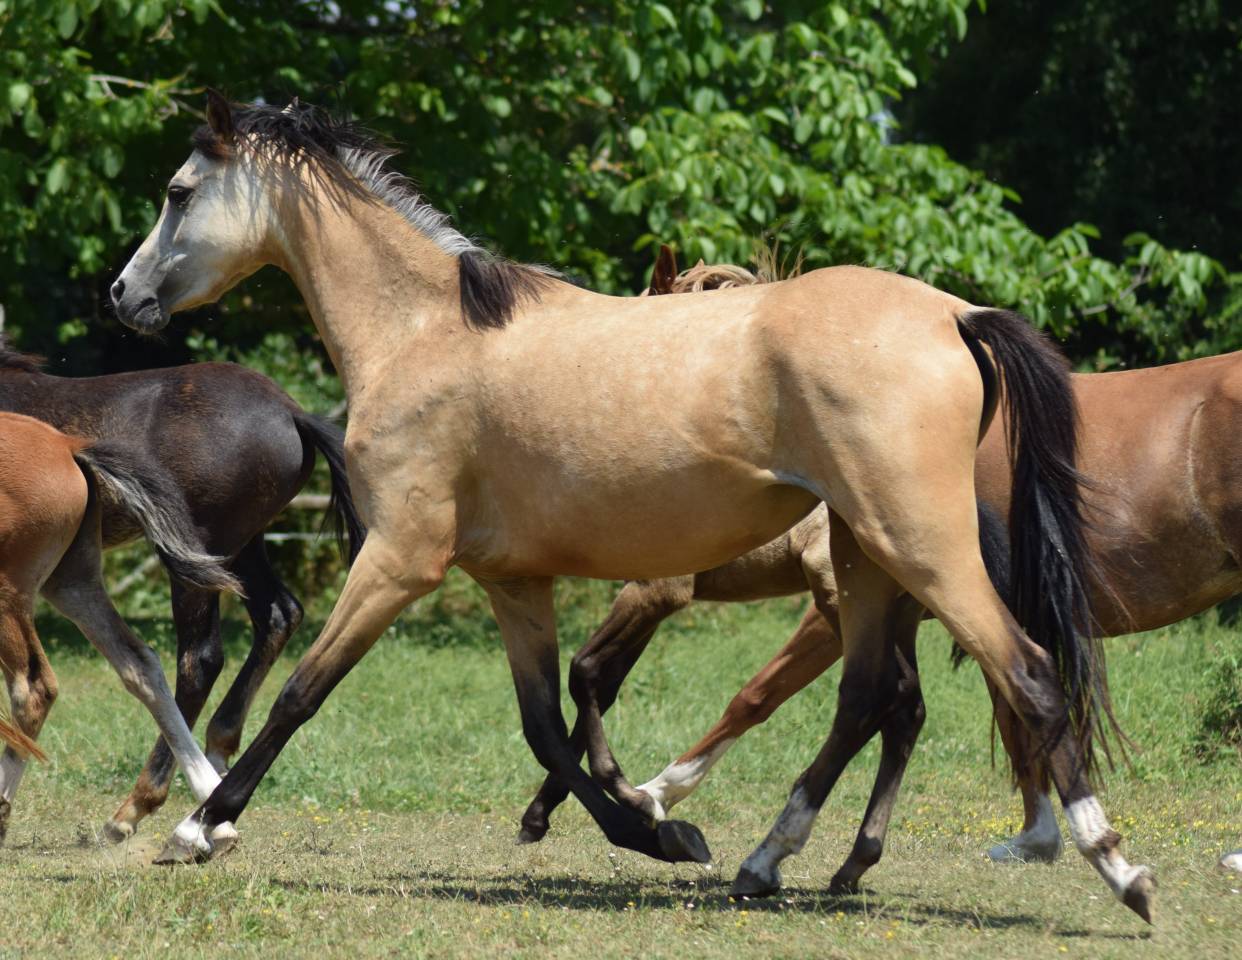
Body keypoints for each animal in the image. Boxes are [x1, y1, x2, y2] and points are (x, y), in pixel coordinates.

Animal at [108, 93, 1152, 921]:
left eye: (178, 193)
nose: (124, 295)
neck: (423, 333)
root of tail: (952, 313)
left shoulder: (401, 559)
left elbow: (303, 692)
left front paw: (200, 828)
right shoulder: (514, 583)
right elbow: (546, 721)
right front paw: (655, 832)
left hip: (920, 550)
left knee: (1026, 675)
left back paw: (1119, 870)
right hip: (867, 564)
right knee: (872, 698)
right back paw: (771, 861)